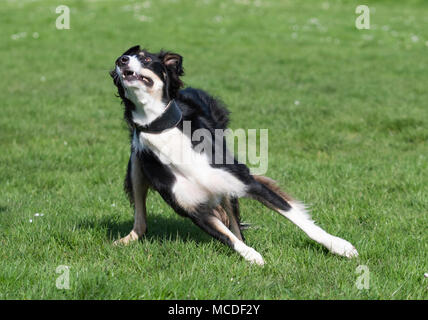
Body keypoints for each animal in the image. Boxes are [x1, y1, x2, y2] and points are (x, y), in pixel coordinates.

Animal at [110, 45, 358, 264]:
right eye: (122, 59)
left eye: (146, 59)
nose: (121, 60)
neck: (161, 128)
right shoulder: (194, 209)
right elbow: (229, 238)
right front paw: (253, 257)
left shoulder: (245, 182)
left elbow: (296, 216)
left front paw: (339, 245)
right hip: (136, 166)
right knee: (141, 223)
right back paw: (125, 240)